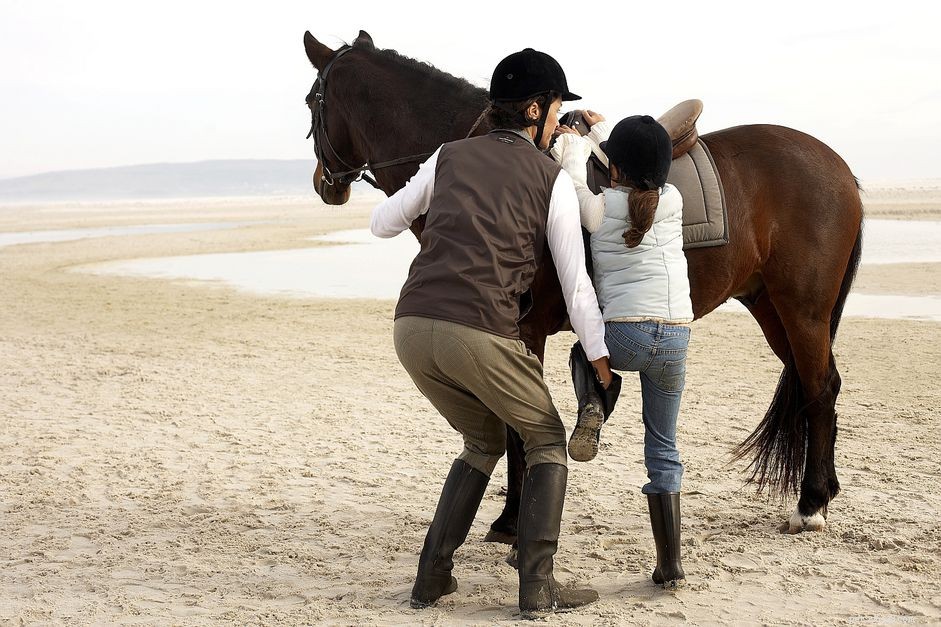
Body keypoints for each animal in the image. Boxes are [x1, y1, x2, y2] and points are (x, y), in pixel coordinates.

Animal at [303, 30, 864, 537]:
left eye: (312, 101)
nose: (323, 184)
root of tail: (838, 166)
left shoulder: (524, 334)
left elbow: (517, 425)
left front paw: (511, 520)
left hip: (802, 311)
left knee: (817, 389)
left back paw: (811, 505)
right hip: (771, 307)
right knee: (821, 385)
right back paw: (823, 492)